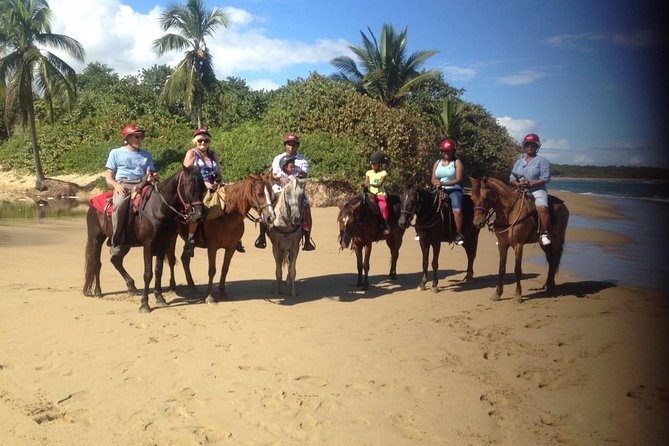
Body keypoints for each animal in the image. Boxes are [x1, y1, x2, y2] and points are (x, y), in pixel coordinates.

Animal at [83, 166, 205, 312]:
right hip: (96, 238)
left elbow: (158, 271)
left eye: (203, 187)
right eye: (188, 186)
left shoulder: (163, 243)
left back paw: (131, 286)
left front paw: (160, 298)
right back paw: (98, 291)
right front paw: (145, 304)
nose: (199, 214)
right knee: (96, 262)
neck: (158, 207)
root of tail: (93, 202)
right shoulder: (148, 244)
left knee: (115, 260)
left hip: (124, 244)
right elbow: (148, 273)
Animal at [179, 174, 276, 304]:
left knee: (184, 259)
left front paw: (223, 293)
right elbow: (212, 270)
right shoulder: (212, 247)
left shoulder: (231, 247)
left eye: (273, 195)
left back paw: (192, 287)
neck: (227, 215)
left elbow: (225, 269)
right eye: (260, 193)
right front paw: (209, 296)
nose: (271, 217)